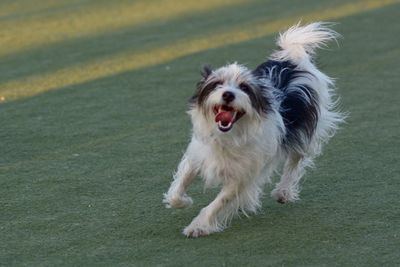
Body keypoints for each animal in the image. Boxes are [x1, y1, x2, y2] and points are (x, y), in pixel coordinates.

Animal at [162, 22, 344, 238]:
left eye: (244, 88)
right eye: (217, 84)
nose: (228, 94)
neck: (228, 137)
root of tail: (292, 61)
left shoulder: (241, 176)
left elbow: (217, 203)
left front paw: (199, 225)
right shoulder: (199, 155)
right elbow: (179, 186)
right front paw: (183, 202)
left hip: (304, 131)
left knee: (295, 160)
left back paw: (283, 191)